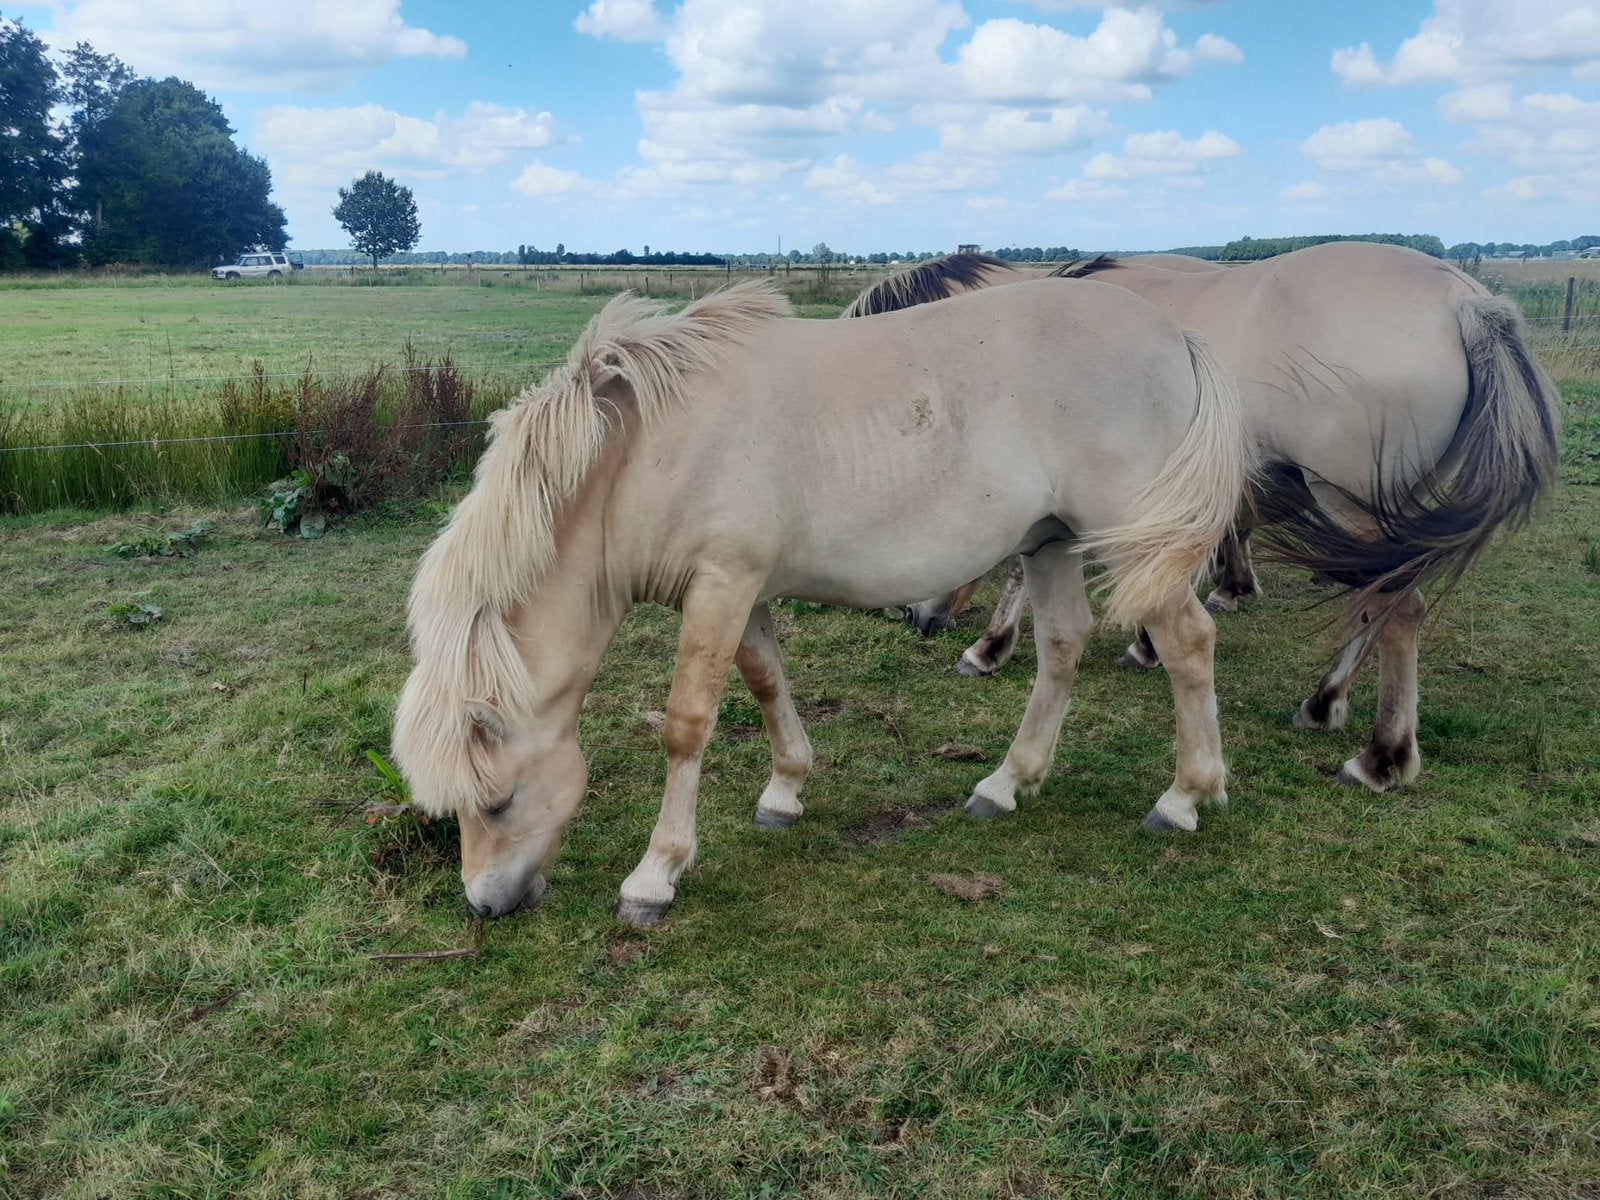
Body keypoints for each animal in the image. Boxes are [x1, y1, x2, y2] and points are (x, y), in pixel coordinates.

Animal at [392, 278, 1260, 924]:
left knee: (1187, 643)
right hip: (1049, 543)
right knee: (1062, 646)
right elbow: (766, 683)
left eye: (498, 801)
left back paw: (1185, 797)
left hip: (1132, 542)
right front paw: (785, 791)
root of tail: (1174, 336)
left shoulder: (721, 587)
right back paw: (1006, 784)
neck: (641, 453)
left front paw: (655, 874)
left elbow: (686, 726)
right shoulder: (739, 594)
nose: (483, 904)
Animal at [851, 243, 1562, 793]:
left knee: (1396, 607)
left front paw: (990, 648)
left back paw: (1382, 756)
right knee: (1373, 603)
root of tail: (1465, 302)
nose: (913, 616)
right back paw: (1324, 702)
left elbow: (1024, 575)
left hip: (1352, 504)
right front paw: (1146, 642)